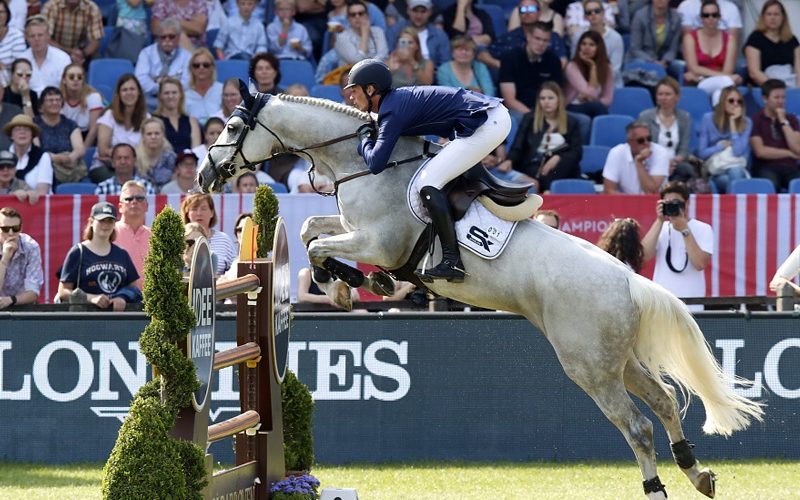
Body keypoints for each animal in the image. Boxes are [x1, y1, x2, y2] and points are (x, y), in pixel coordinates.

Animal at [197, 87, 764, 499]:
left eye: (232, 127)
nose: (204, 175)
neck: (363, 160)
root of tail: (629, 278)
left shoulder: (378, 240)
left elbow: (318, 244)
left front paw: (358, 284)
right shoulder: (353, 228)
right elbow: (311, 228)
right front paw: (354, 285)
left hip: (589, 367)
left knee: (638, 426)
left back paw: (657, 487)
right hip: (615, 358)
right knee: (665, 402)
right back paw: (697, 473)